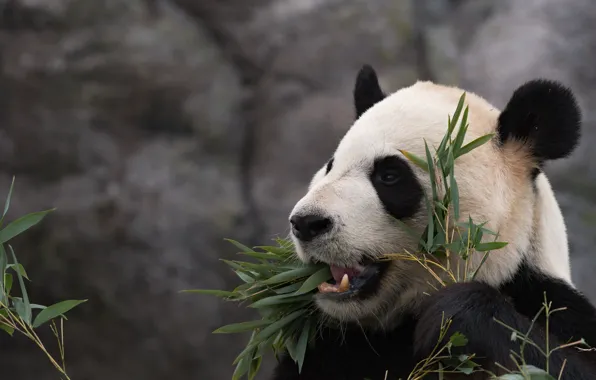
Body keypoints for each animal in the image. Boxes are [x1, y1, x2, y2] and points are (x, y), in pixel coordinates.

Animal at [272, 63, 596, 378]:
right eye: (331, 167)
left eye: (389, 176)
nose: (306, 223)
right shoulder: (326, 346)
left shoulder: (549, 304)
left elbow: (558, 362)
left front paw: (451, 317)